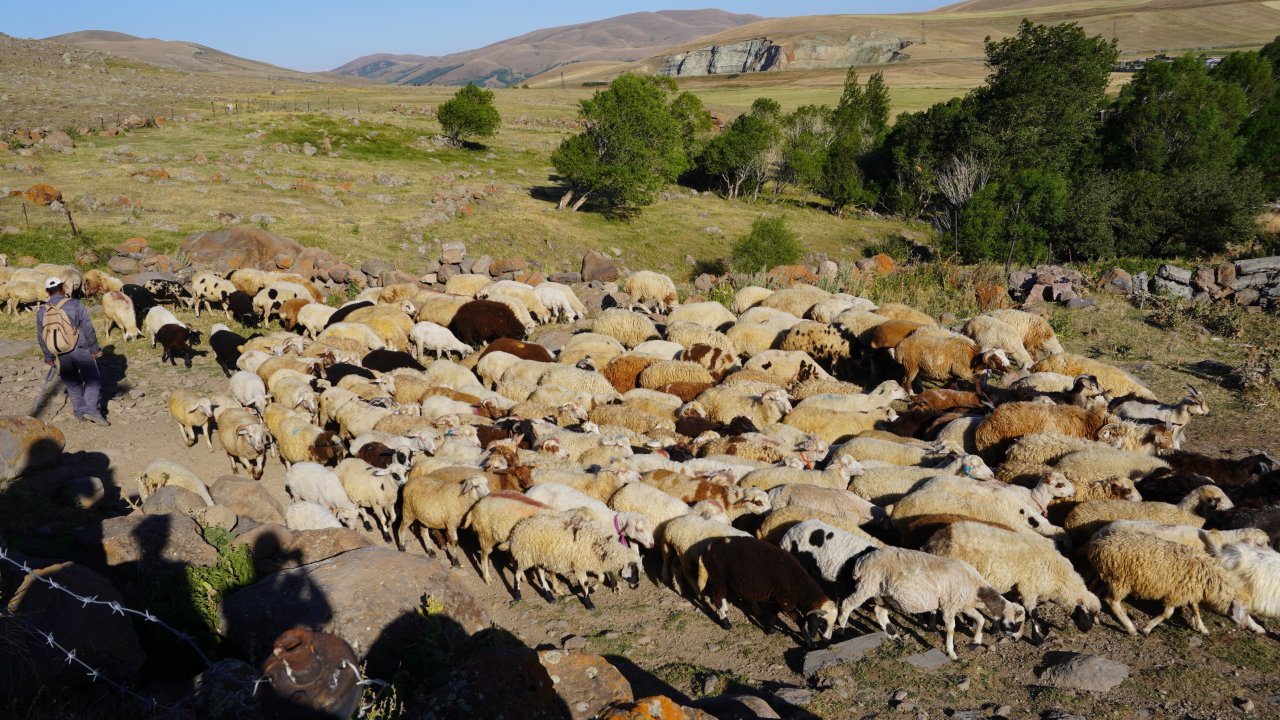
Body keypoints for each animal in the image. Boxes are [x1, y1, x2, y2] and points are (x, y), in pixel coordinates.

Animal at [505, 509, 641, 605]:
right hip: (525, 555)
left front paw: (591, 589)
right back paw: (517, 595)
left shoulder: (592, 563)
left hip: (539, 556)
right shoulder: (580, 564)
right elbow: (585, 583)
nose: (637, 586)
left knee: (540, 573)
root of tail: (518, 526)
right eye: (634, 570)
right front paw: (589, 603)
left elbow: (602, 578)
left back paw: (550, 596)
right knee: (517, 572)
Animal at [844, 546, 1026, 658]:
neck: (976, 589)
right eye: (1016, 624)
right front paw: (952, 653)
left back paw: (895, 637)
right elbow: (951, 629)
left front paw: (974, 643)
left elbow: (980, 619)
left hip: (884, 594)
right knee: (847, 604)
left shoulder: (963, 605)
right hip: (867, 584)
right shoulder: (949, 606)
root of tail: (861, 561)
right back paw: (841, 629)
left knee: (880, 613)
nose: (1015, 639)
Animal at [924, 520, 1100, 641]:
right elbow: (1033, 613)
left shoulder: (1017, 589)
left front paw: (996, 628)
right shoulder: (1029, 588)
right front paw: (1038, 638)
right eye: (1088, 614)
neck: (1058, 576)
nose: (1087, 630)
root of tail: (935, 541)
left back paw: (933, 626)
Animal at [1086, 530, 1262, 635]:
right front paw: (1147, 628)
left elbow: (1196, 609)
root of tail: (1098, 545)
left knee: (1093, 591)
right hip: (1120, 580)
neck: (1209, 576)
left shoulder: (1190, 591)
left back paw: (1096, 617)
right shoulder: (1177, 593)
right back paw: (1130, 628)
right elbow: (1168, 613)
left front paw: (1202, 628)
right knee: (1112, 601)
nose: (1245, 626)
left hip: (1104, 575)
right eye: (1246, 611)